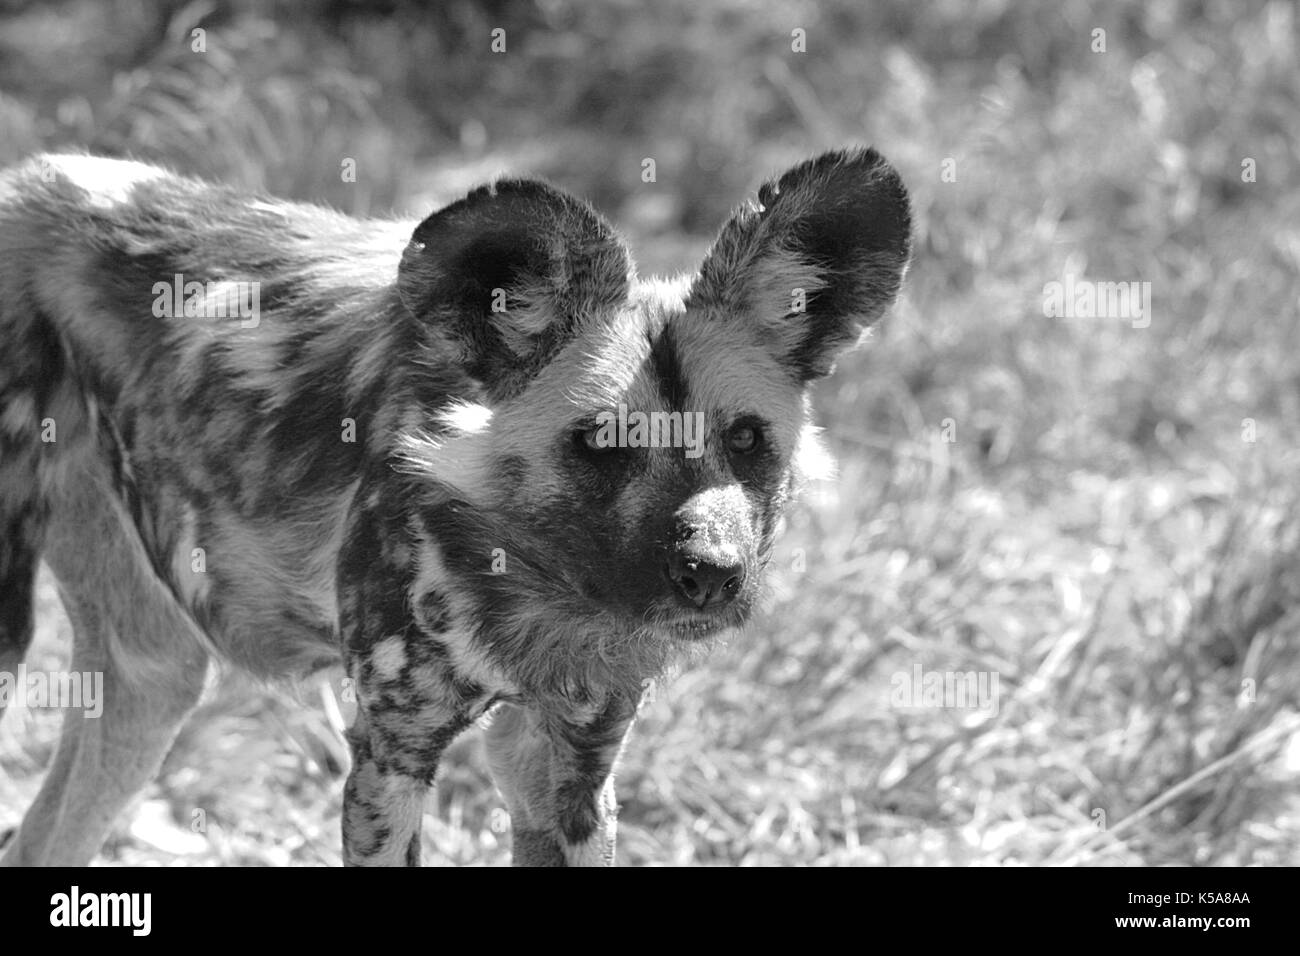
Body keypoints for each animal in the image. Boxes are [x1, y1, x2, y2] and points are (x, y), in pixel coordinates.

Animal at [0, 143, 909, 868]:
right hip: (17, 639)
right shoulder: (390, 756)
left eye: (748, 439)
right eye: (601, 443)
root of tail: (31, 172)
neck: (533, 577)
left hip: (150, 680)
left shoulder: (569, 765)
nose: (711, 573)